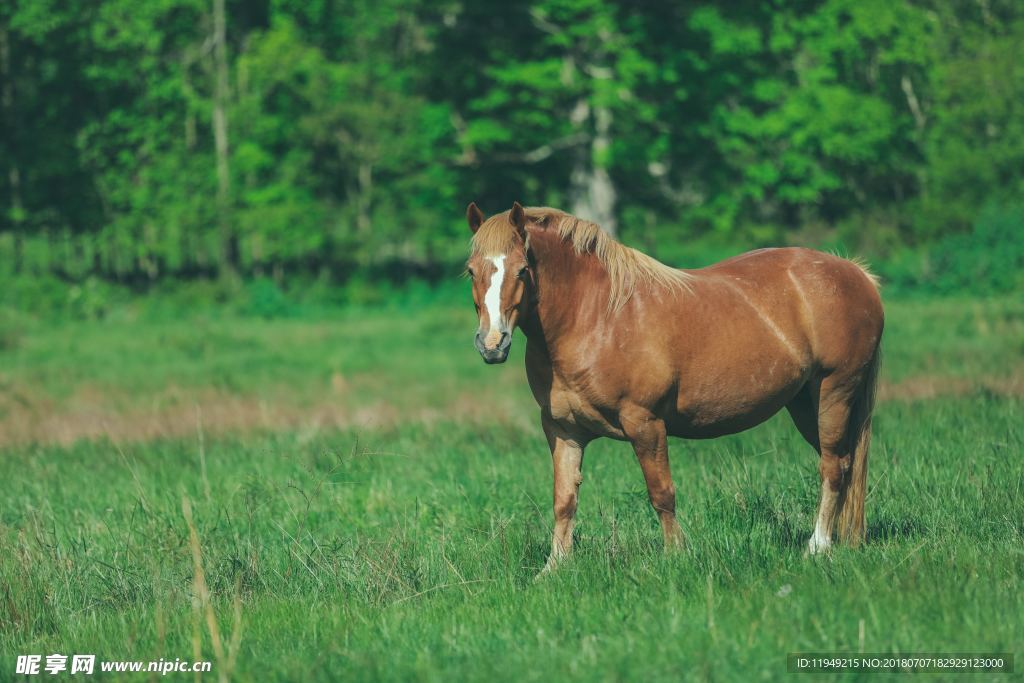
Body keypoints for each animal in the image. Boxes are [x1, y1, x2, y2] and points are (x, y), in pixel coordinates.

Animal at [460, 201, 884, 573]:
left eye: (521, 270)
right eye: (470, 271)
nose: (492, 343)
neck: (596, 317)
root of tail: (856, 273)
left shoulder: (644, 424)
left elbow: (661, 493)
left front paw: (675, 556)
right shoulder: (564, 430)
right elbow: (564, 499)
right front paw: (554, 568)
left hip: (834, 392)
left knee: (832, 466)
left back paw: (818, 546)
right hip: (804, 404)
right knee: (844, 464)